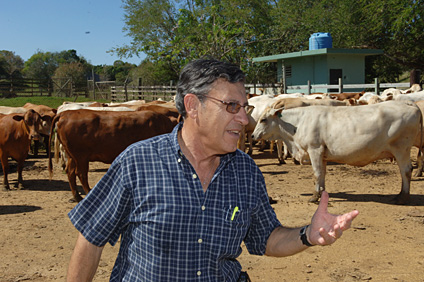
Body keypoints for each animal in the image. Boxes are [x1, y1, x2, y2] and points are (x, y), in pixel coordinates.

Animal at [48, 109, 177, 202]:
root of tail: (65, 113)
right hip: (81, 156)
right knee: (81, 173)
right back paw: (88, 192)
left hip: (72, 156)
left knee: (70, 172)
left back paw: (77, 197)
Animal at [250, 100, 422, 204]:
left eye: (263, 119)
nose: (252, 135)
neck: (297, 124)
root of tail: (409, 103)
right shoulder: (323, 155)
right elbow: (322, 174)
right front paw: (322, 193)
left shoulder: (314, 149)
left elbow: (317, 174)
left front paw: (314, 196)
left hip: (401, 149)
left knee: (406, 171)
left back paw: (403, 196)